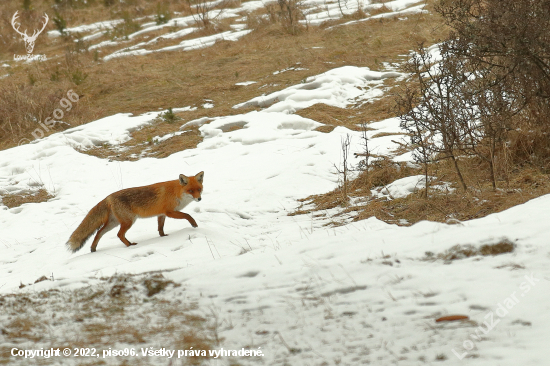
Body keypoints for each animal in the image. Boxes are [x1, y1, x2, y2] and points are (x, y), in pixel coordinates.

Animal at [67, 172, 205, 253]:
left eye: (199, 189)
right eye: (191, 190)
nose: (199, 199)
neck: (176, 192)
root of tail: (108, 197)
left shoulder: (161, 214)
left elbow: (160, 228)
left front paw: (163, 237)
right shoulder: (170, 212)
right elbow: (188, 215)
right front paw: (194, 225)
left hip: (114, 223)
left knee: (99, 232)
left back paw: (93, 248)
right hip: (128, 221)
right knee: (119, 234)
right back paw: (129, 245)